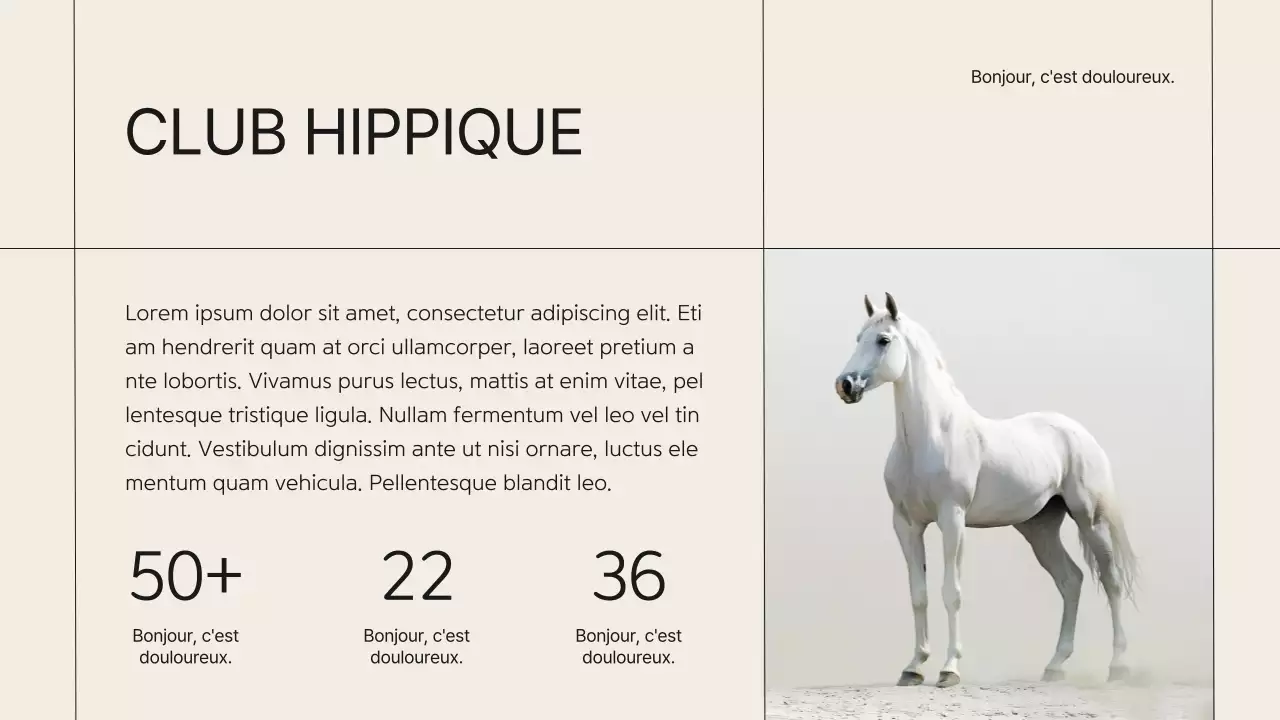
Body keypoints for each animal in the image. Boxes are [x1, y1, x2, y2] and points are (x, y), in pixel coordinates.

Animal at [834, 293, 1138, 688]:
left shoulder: (952, 519)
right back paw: (1055, 666)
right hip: (1039, 528)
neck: (930, 436)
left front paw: (949, 670)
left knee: (1111, 580)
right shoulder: (906, 524)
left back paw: (1119, 666)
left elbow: (951, 592)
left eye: (883, 340)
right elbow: (919, 594)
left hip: (1090, 519)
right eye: (858, 338)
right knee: (1071, 581)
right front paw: (913, 667)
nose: (845, 385)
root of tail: (1079, 433)